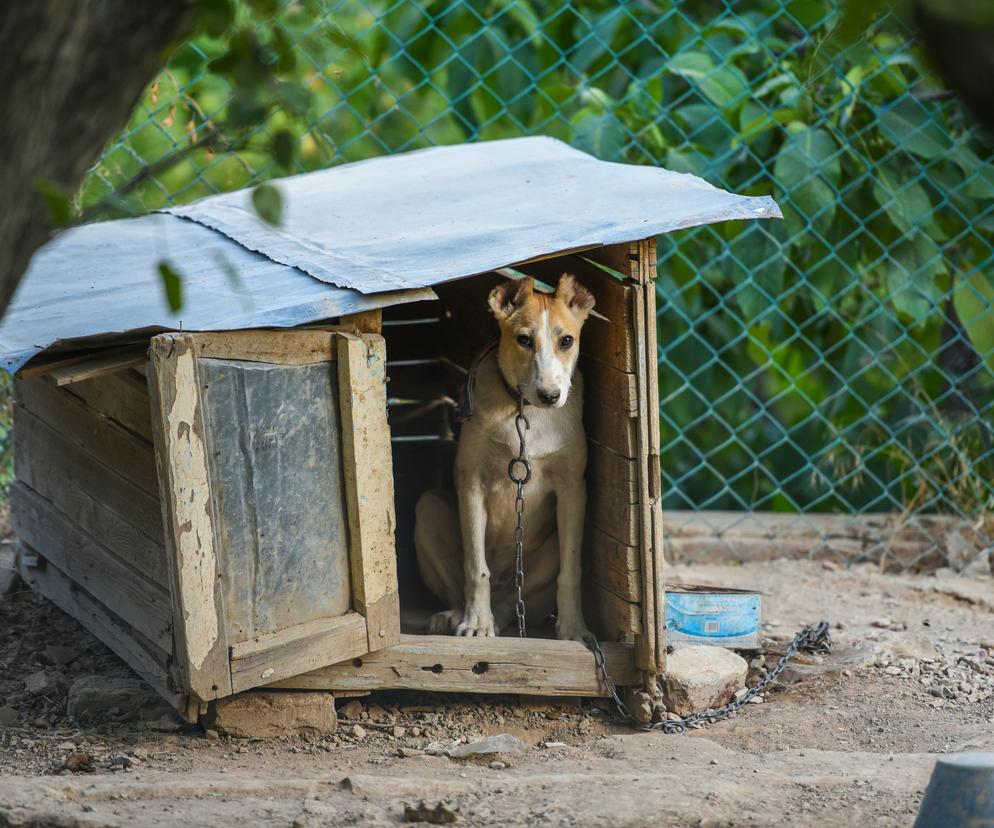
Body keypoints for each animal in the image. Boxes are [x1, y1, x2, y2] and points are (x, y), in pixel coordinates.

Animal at [412, 274, 592, 640]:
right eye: (524, 339)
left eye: (567, 340)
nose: (550, 396)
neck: (525, 412)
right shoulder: (471, 483)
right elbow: (476, 568)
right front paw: (476, 623)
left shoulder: (572, 489)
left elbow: (571, 572)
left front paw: (574, 629)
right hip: (428, 509)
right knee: (468, 587)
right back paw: (457, 616)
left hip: (548, 548)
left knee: (511, 602)